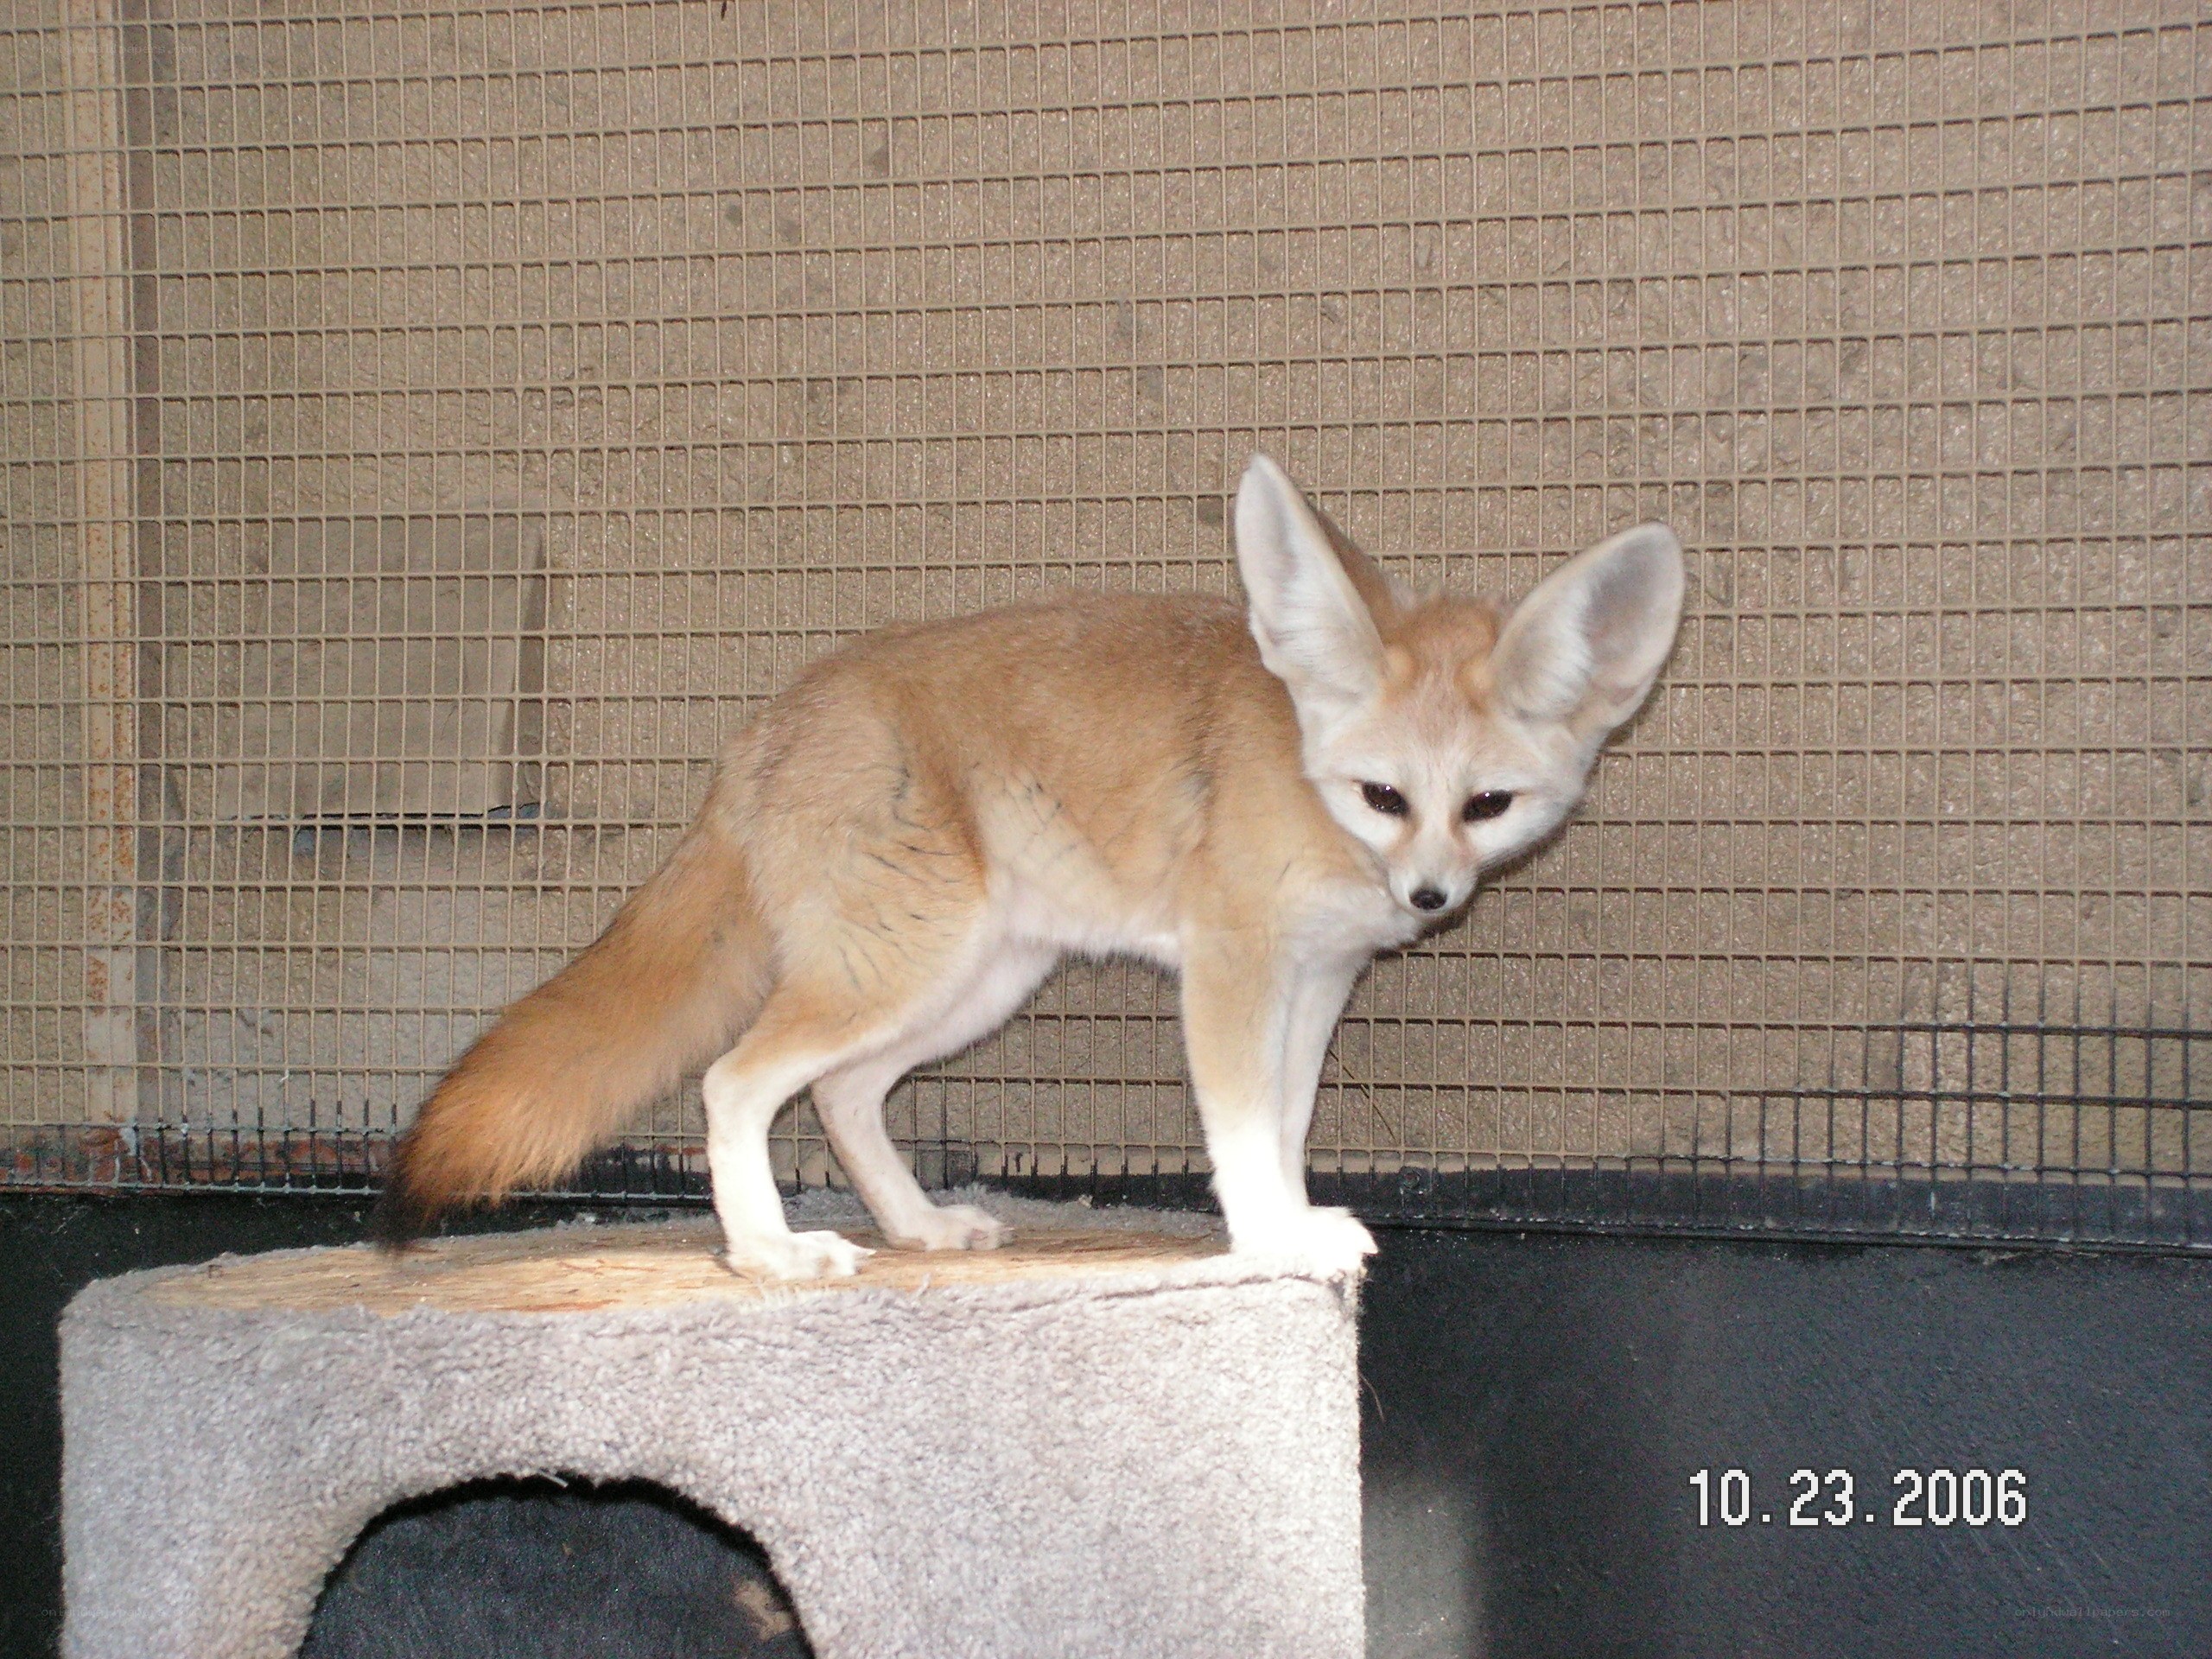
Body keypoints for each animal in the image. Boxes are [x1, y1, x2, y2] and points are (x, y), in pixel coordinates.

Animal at [373, 456, 1685, 1278]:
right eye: (1386, 798)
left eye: (1486, 806)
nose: (1429, 898)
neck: (1311, 786)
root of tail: (764, 727)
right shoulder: (1233, 971)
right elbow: (1240, 1131)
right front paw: (1269, 1241)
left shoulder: (1319, 981)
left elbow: (1288, 1123)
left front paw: (1295, 1217)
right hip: (902, 970)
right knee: (734, 1084)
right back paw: (768, 1253)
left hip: (965, 985)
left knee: (841, 1097)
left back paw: (914, 1228)